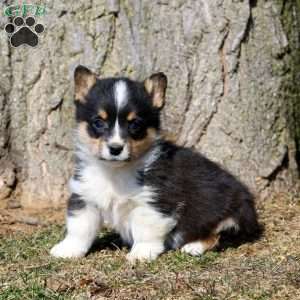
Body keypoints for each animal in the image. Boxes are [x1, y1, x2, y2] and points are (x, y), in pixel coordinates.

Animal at [49, 65, 260, 260]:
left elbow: (145, 230)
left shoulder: (154, 201)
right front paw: (68, 250)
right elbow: (79, 228)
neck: (115, 171)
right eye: (98, 122)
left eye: (135, 124)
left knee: (220, 235)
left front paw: (141, 253)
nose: (116, 148)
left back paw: (194, 246)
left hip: (232, 215)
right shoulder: (84, 195)